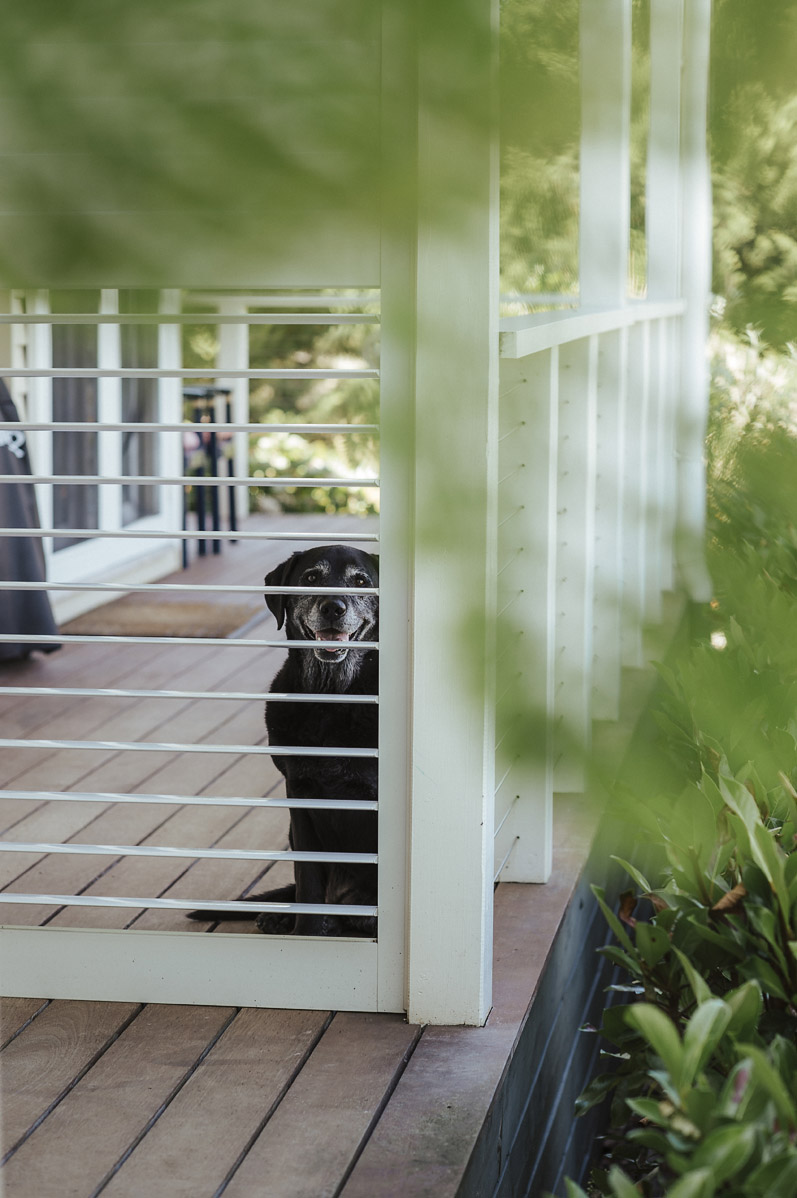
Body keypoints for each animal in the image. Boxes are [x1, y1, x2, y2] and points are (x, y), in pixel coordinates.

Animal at [191, 543, 378, 934]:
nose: (333, 607)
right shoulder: (300, 795)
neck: (330, 698)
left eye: (361, 581)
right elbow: (308, 881)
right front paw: (305, 932)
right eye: (310, 577)